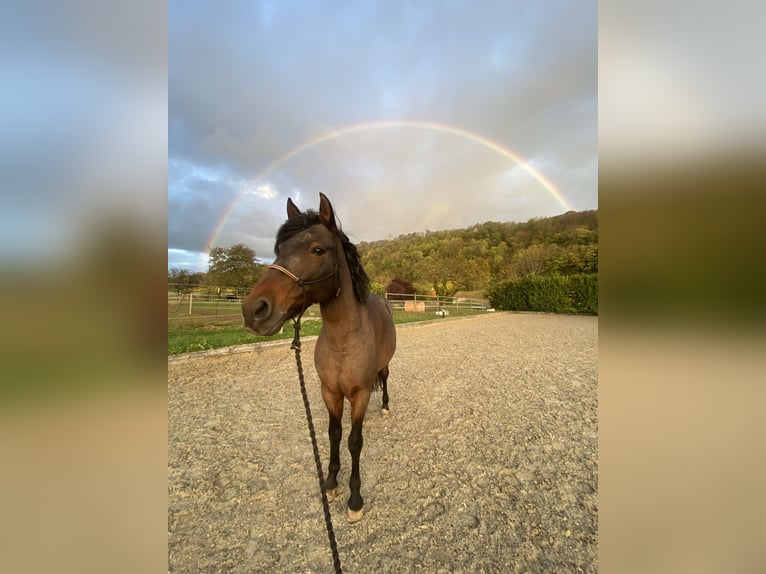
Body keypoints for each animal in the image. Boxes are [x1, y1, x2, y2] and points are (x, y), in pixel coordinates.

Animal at [243, 195, 400, 528]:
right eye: (279, 248)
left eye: (317, 249)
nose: (254, 310)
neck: (344, 340)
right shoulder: (330, 392)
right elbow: (334, 434)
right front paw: (330, 482)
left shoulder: (360, 394)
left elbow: (354, 441)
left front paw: (355, 500)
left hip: (384, 367)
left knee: (385, 379)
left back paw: (384, 407)